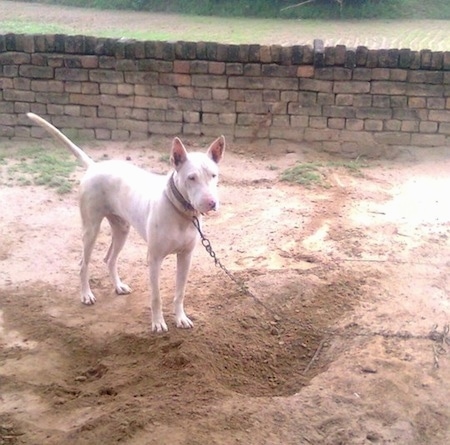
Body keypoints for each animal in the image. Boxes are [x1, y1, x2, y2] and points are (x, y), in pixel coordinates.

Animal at [26, 112, 225, 332]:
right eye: (191, 178)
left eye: (213, 175)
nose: (211, 203)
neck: (181, 212)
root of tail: (95, 166)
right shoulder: (154, 259)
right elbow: (156, 297)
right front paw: (158, 323)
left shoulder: (185, 257)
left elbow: (180, 292)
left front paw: (181, 318)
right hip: (91, 229)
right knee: (83, 263)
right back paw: (86, 294)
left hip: (122, 229)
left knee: (109, 259)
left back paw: (118, 286)